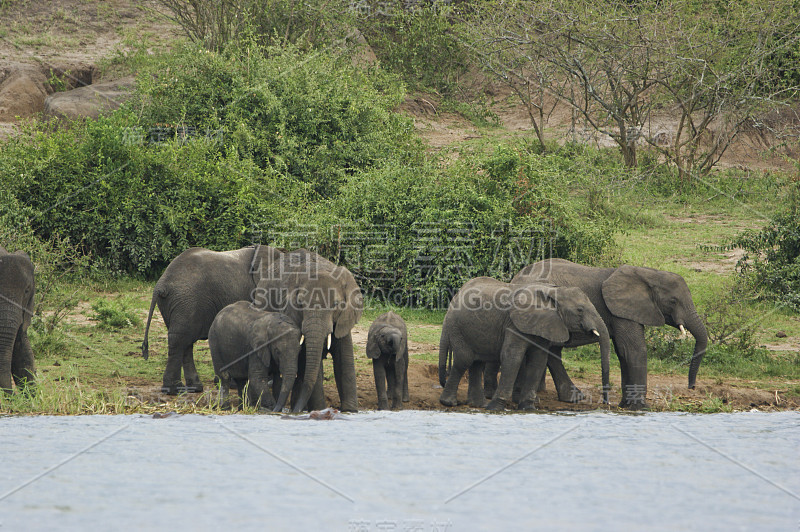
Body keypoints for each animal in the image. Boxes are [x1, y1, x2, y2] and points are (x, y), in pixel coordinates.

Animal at [142, 246, 282, 394]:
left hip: (177, 305)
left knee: (185, 342)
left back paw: (194, 388)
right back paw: (175, 390)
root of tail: (160, 285)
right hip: (187, 302)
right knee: (180, 340)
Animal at [253, 248, 362, 412]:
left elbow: (344, 358)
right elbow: (307, 357)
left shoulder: (343, 318)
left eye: (336, 304)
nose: (296, 412)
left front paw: (350, 412)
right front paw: (320, 410)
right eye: (300, 303)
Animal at [438, 276, 608, 410]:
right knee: (464, 360)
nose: (606, 403)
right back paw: (449, 403)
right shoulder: (515, 324)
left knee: (477, 363)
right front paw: (496, 408)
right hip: (457, 328)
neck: (552, 292)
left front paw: (528, 408)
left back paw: (479, 405)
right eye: (580, 310)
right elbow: (512, 357)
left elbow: (538, 361)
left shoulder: (545, 326)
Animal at [512, 260, 708, 410]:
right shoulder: (620, 311)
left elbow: (623, 353)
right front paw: (641, 408)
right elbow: (634, 349)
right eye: (673, 301)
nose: (691, 387)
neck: (648, 273)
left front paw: (625, 405)